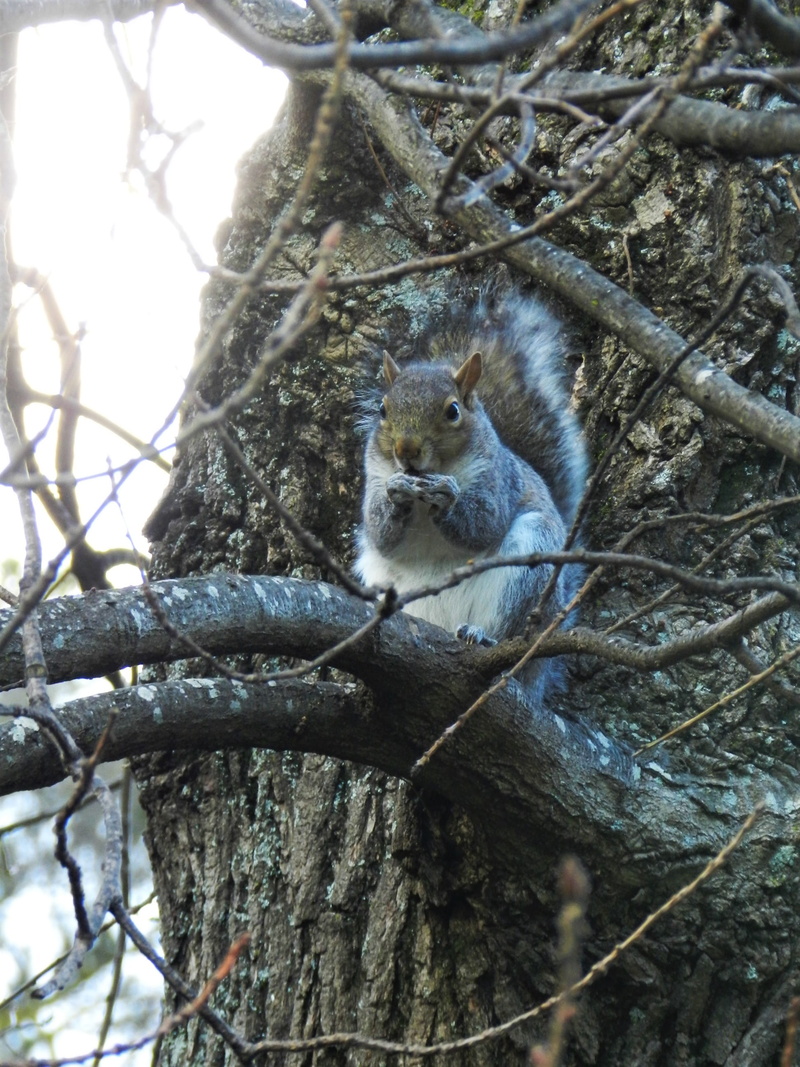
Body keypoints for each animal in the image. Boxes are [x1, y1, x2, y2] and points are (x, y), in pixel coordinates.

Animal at [355, 288, 588, 703]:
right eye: (382, 409)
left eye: (452, 411)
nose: (406, 450)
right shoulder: (374, 478)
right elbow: (381, 535)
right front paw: (397, 495)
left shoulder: (498, 482)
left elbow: (484, 525)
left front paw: (447, 496)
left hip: (530, 562)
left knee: (511, 633)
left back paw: (484, 638)